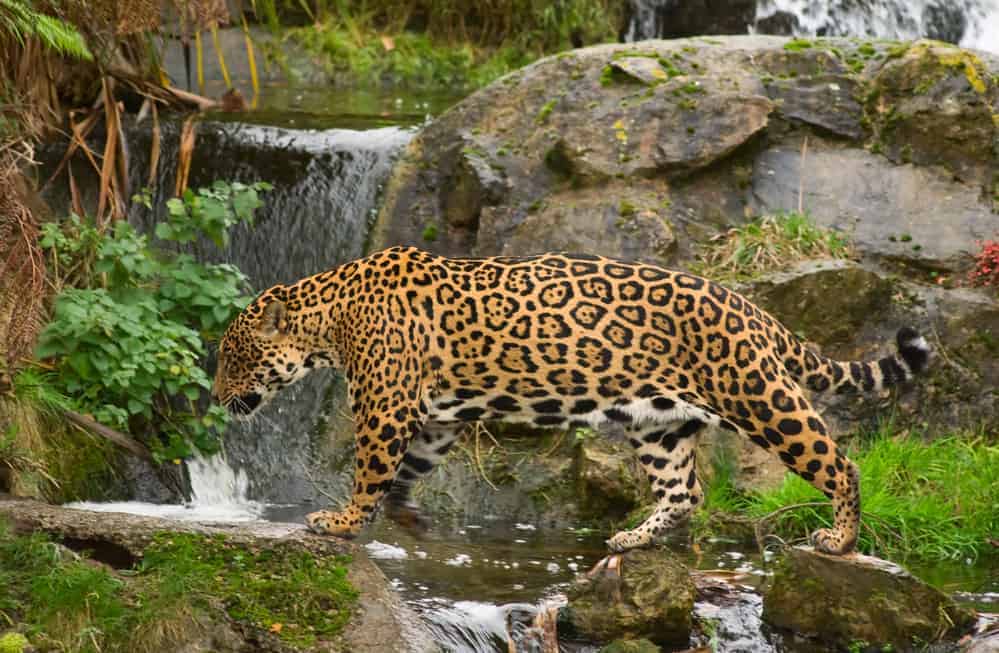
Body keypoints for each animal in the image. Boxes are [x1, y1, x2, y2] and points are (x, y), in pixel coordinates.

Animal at [212, 246, 930, 555]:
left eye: (232, 356)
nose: (215, 397)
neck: (328, 318)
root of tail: (753, 310)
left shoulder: (385, 408)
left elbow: (368, 471)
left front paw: (340, 521)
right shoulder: (433, 416)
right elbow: (410, 470)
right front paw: (406, 516)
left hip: (757, 395)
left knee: (838, 461)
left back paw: (839, 537)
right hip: (659, 424)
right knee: (685, 491)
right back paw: (632, 538)